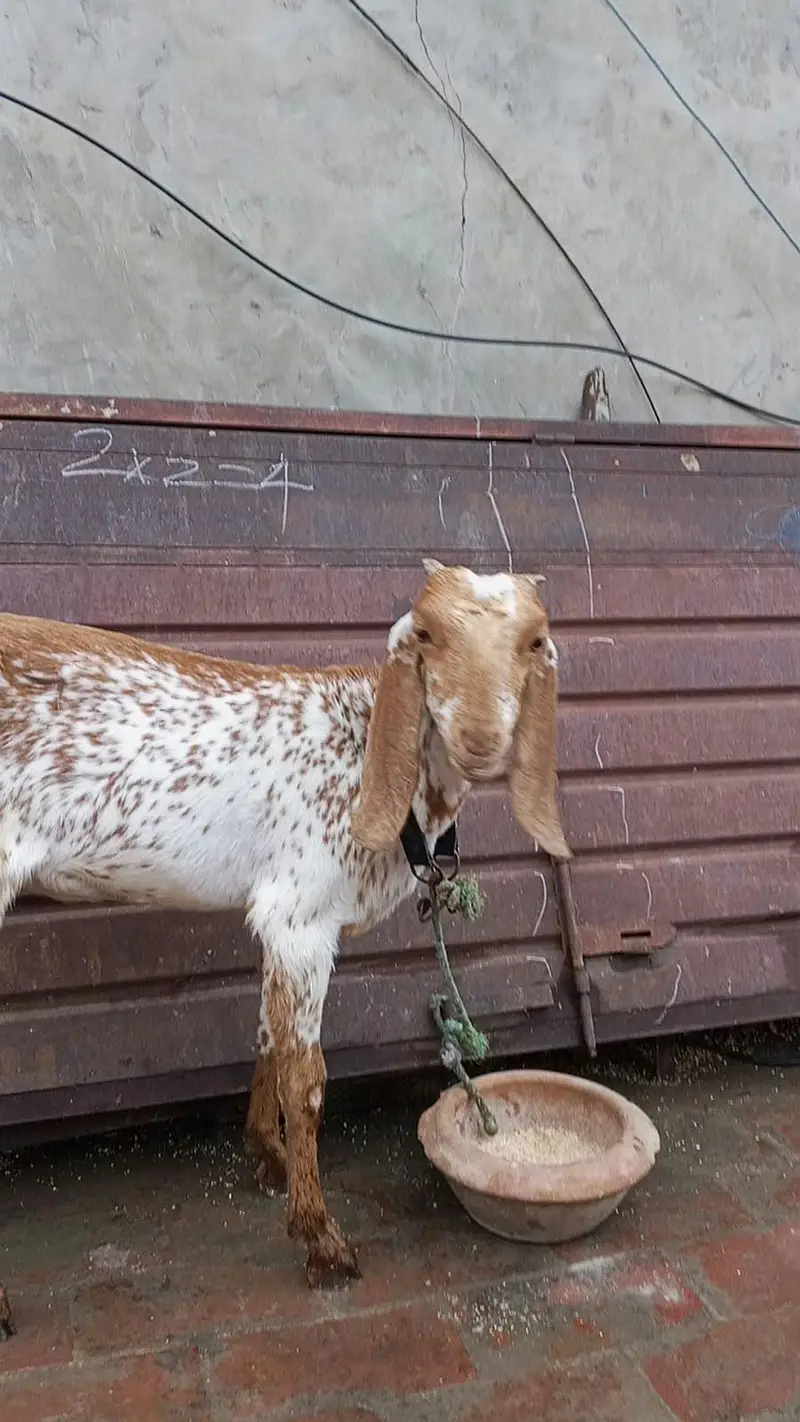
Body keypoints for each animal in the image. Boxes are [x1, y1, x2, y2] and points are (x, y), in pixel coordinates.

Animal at [0, 559, 570, 1319]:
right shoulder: (301, 915)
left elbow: (269, 1034)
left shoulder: (277, 922)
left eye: (534, 642)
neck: (365, 752)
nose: (479, 740)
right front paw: (320, 1239)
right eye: (425, 635)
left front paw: (264, 1155)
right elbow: (308, 1079)